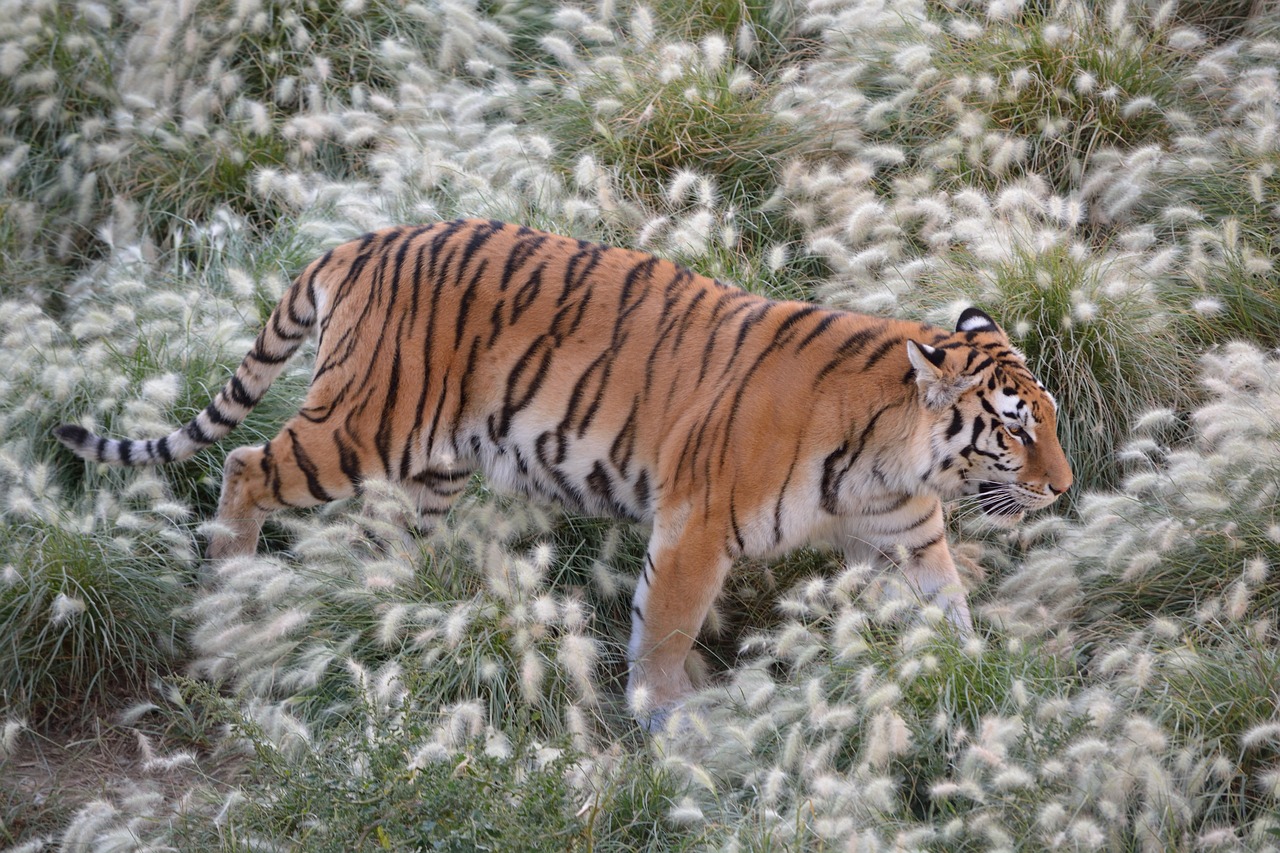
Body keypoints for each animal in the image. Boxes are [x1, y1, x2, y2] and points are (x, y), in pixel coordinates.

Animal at [52, 217, 1070, 722]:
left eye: (1052, 418)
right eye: (1016, 427)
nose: (1063, 486)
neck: (896, 457)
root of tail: (362, 241)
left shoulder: (906, 534)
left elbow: (947, 607)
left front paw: (977, 683)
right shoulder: (698, 522)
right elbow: (663, 629)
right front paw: (668, 718)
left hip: (431, 465)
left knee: (380, 538)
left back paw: (394, 610)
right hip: (359, 427)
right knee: (245, 462)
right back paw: (228, 592)